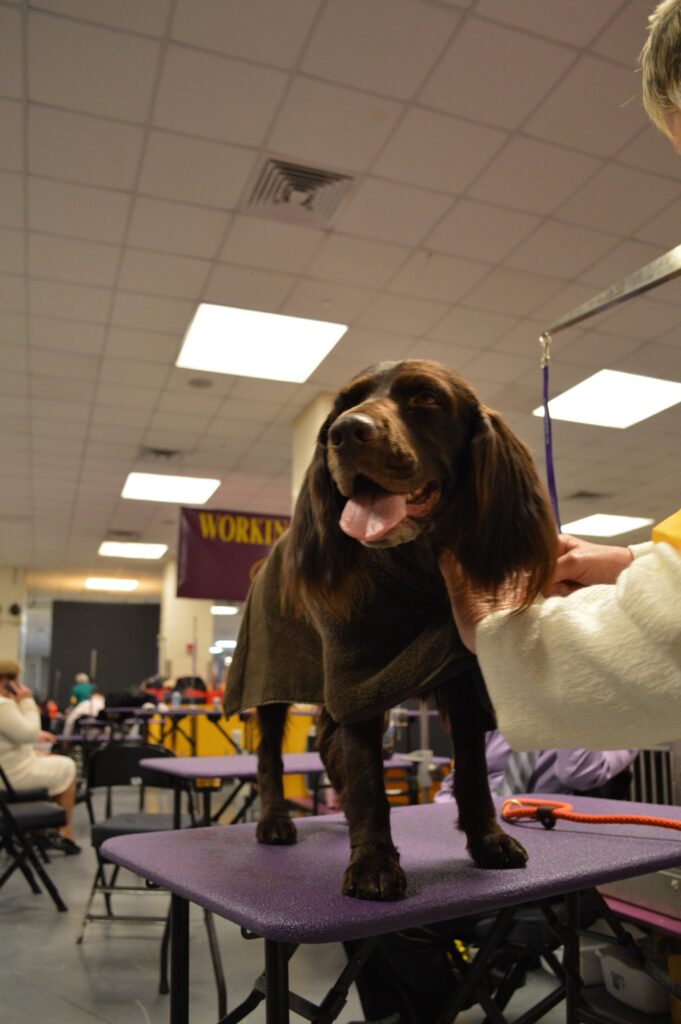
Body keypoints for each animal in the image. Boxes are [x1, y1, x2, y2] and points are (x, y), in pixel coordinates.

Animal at [225, 358, 557, 897]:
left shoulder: (463, 684)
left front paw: (487, 840)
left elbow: (471, 773)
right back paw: (275, 819)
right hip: (268, 671)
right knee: (271, 753)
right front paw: (373, 862)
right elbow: (368, 779)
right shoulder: (357, 679)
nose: (344, 433)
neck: (419, 570)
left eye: (425, 397)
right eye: (343, 405)